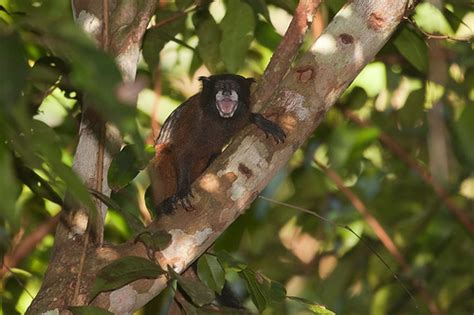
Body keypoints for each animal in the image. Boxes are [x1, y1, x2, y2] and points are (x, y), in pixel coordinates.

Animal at [150, 74, 286, 215]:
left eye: (234, 86)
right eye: (219, 86)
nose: (226, 92)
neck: (218, 119)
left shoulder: (237, 119)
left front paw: (260, 121)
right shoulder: (193, 117)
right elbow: (181, 151)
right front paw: (183, 189)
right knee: (163, 154)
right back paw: (164, 204)